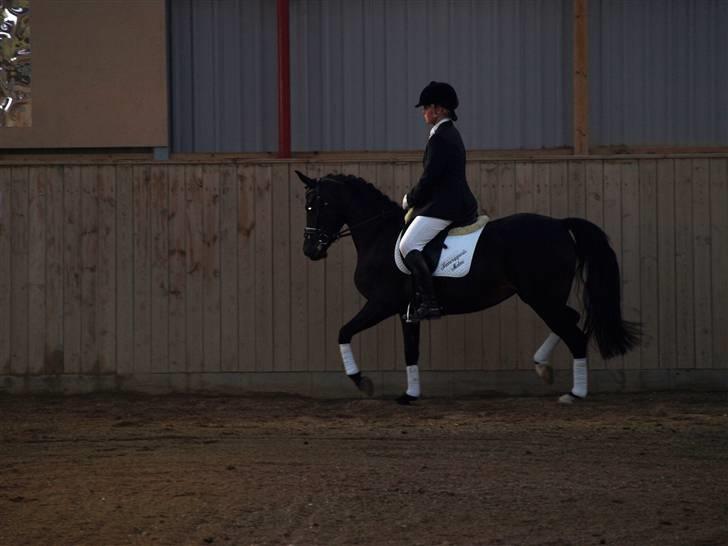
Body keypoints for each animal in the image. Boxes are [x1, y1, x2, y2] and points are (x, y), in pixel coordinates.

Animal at [296, 172, 636, 402]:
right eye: (307, 206)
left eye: (318, 204)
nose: (310, 250)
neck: (379, 235)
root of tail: (560, 225)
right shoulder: (407, 311)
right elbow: (410, 351)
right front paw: (411, 394)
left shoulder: (381, 304)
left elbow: (343, 332)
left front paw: (361, 381)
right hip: (546, 297)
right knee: (571, 320)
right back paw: (543, 367)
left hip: (540, 297)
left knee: (574, 334)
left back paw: (575, 393)